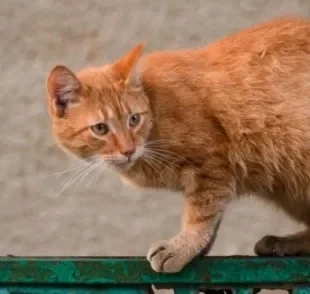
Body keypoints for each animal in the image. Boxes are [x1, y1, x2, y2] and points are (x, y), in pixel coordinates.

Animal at [46, 16, 310, 274]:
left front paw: (182, 247)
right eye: (101, 129)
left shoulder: (212, 164)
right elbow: (213, 217)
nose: (129, 150)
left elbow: (202, 213)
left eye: (134, 119)